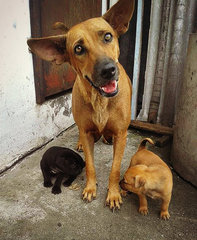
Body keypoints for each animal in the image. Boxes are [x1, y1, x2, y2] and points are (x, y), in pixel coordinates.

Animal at [26, 0, 135, 210]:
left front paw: (114, 193)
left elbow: (115, 169)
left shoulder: (121, 134)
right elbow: (90, 165)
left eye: (108, 36)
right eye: (78, 49)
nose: (108, 70)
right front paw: (90, 188)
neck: (99, 99)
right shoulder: (86, 131)